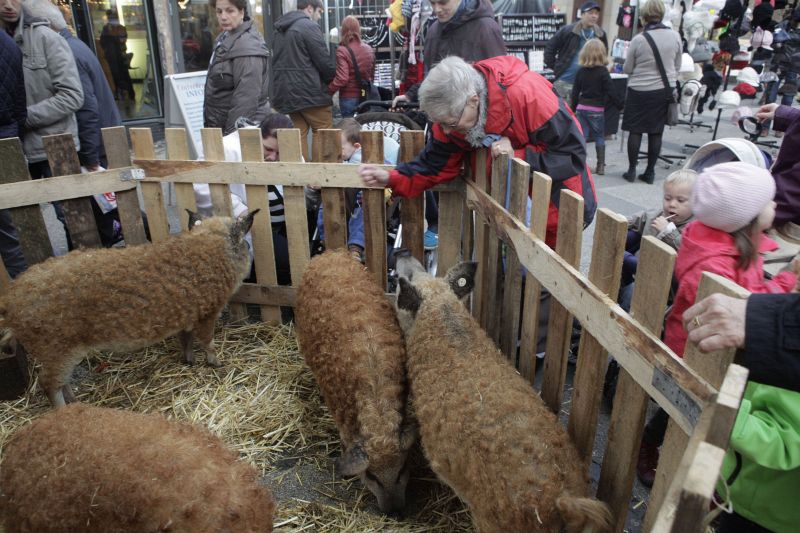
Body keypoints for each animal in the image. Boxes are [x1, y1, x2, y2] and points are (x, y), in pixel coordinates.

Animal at [0, 210, 259, 408]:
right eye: (246, 243)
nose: (250, 250)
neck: (213, 250)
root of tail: (10, 300)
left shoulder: (186, 316)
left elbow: (185, 339)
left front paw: (189, 361)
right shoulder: (208, 311)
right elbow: (207, 340)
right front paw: (216, 363)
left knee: (59, 380)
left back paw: (75, 402)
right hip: (55, 347)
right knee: (47, 382)